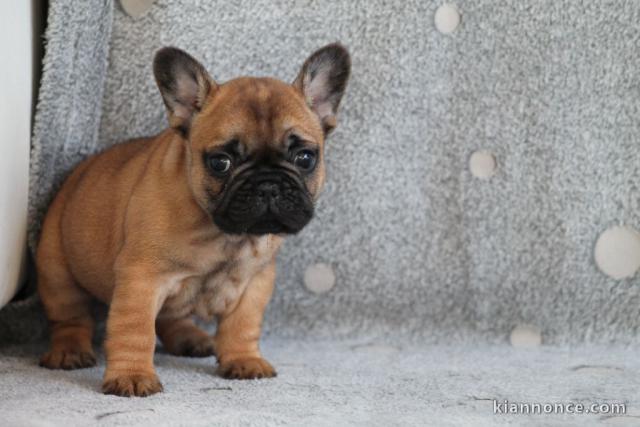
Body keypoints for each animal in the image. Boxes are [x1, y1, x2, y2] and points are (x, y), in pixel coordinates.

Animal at [35, 44, 350, 398]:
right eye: (220, 162)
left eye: (305, 158)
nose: (267, 183)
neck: (226, 235)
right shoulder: (141, 279)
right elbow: (135, 330)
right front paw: (132, 375)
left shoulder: (255, 281)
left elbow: (242, 324)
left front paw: (244, 360)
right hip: (57, 271)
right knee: (71, 317)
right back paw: (69, 351)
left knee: (169, 317)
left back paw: (192, 338)